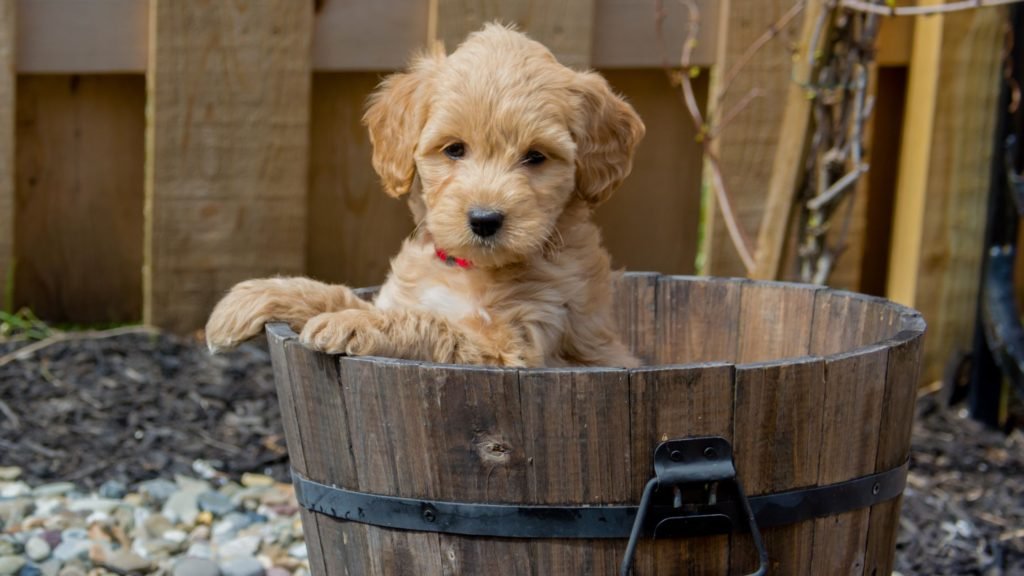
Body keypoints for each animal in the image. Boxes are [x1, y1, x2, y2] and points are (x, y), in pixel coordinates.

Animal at [203, 24, 643, 364]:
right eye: (454, 149)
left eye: (536, 156)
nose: (485, 220)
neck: (467, 269)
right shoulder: (403, 297)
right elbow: (334, 294)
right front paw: (247, 299)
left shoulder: (513, 345)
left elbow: (430, 323)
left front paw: (354, 324)